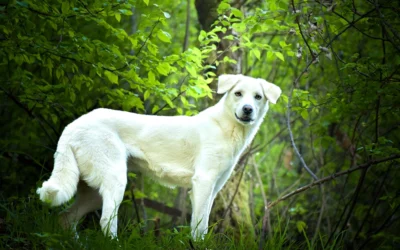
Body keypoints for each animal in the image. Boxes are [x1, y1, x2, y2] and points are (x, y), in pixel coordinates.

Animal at [37, 73, 282, 238]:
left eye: (258, 97)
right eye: (238, 94)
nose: (248, 109)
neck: (228, 127)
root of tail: (72, 125)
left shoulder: (213, 189)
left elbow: (202, 227)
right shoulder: (203, 182)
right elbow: (198, 227)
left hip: (94, 192)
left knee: (65, 218)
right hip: (115, 180)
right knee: (106, 221)